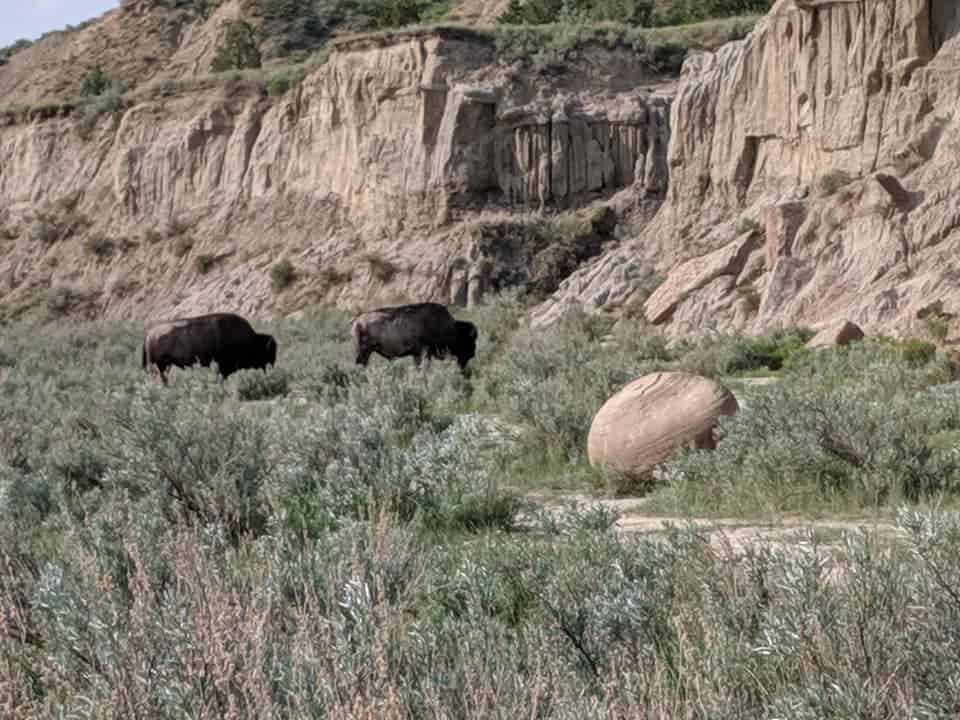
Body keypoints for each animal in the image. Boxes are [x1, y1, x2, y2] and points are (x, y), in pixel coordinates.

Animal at [142, 312, 278, 386]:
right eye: (269, 351)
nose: (272, 367)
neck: (252, 340)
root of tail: (150, 333)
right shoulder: (223, 366)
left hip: (165, 365)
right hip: (160, 364)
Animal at [350, 302, 478, 372]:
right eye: (470, 340)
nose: (472, 354)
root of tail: (357, 320)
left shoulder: (418, 354)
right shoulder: (423, 353)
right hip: (364, 352)